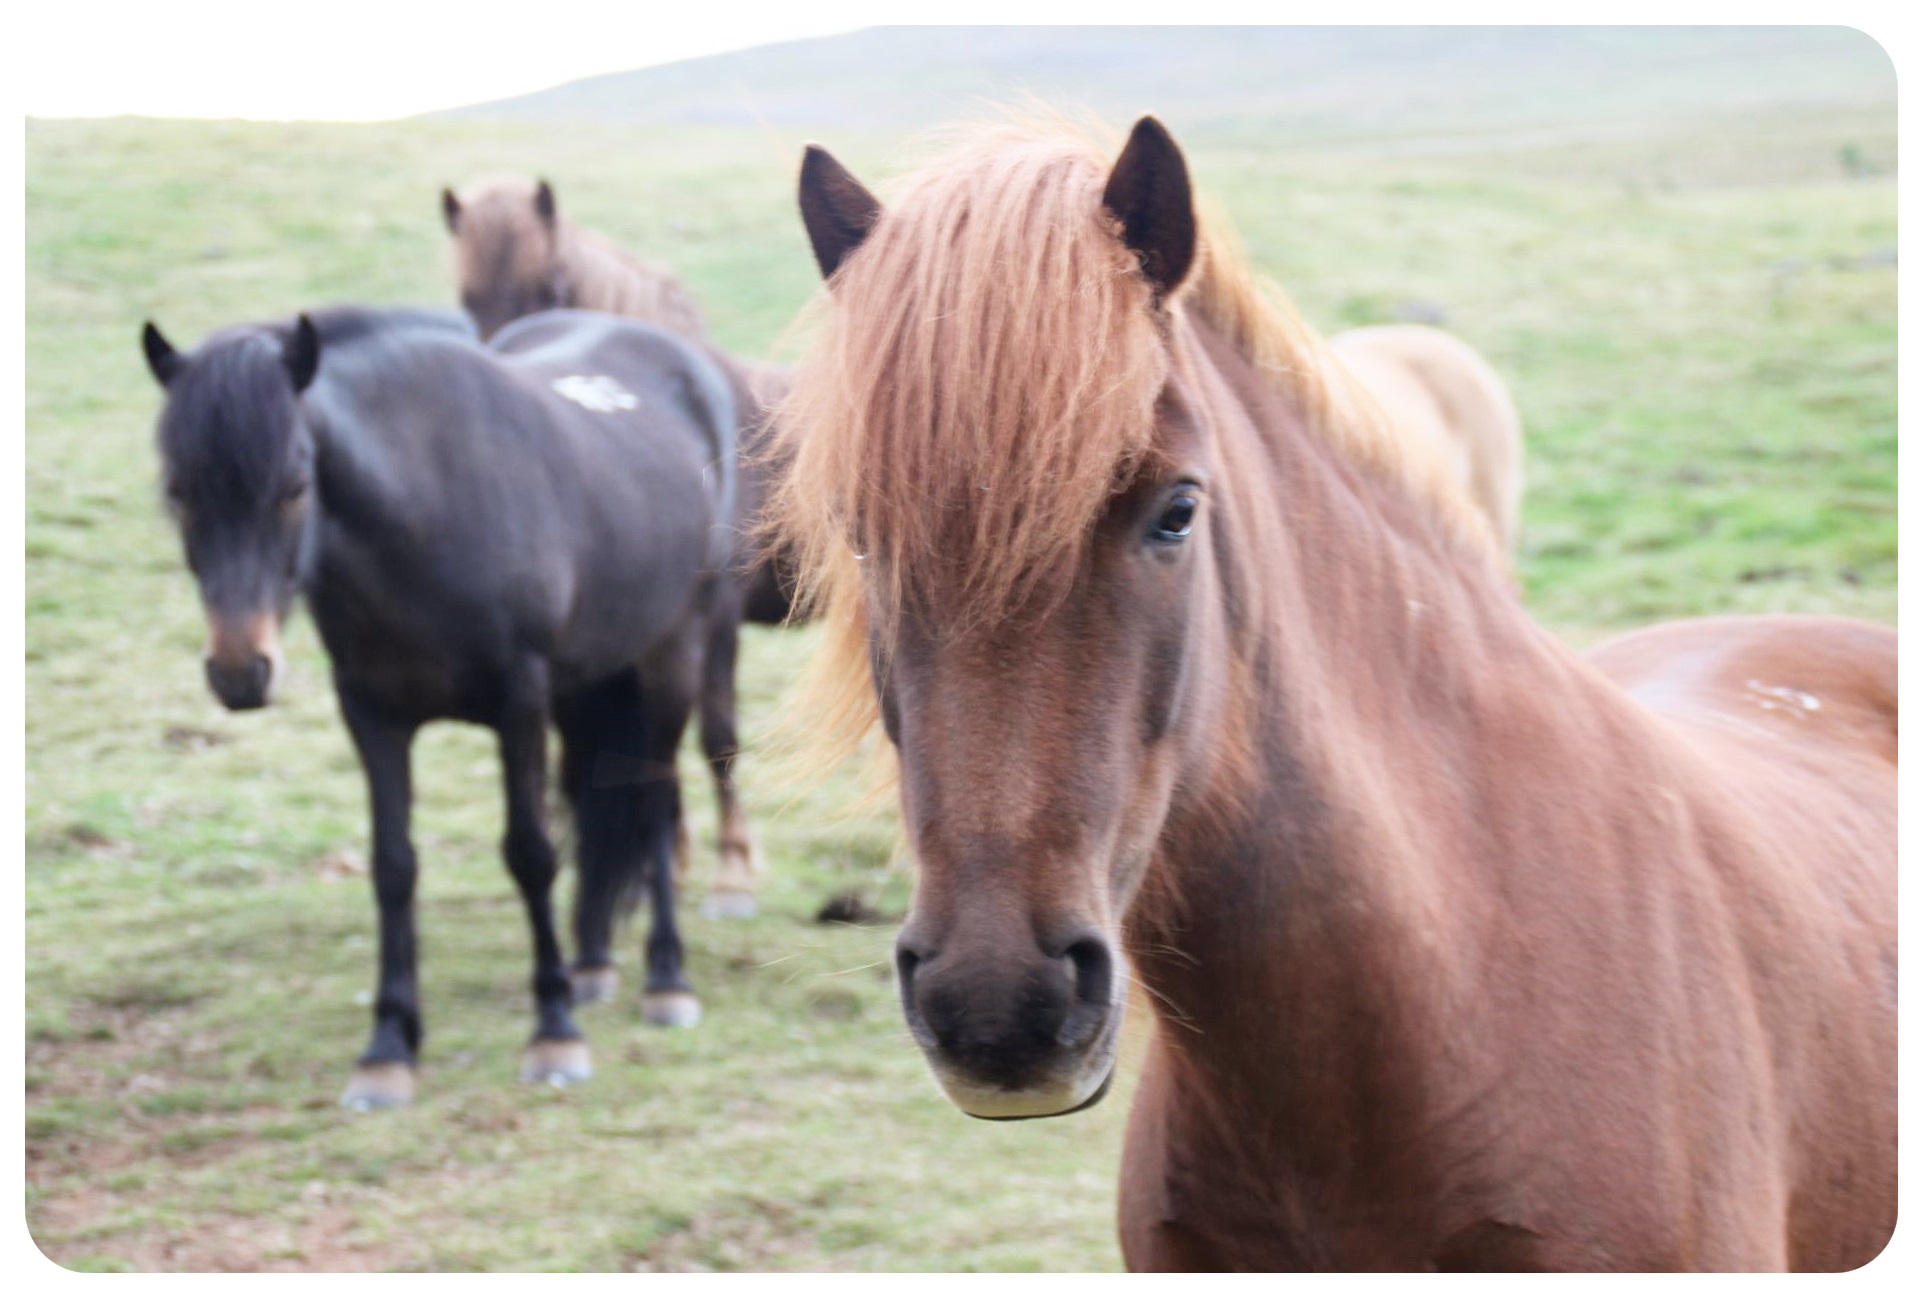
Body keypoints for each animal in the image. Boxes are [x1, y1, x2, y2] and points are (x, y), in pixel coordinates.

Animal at [142, 303, 738, 1107]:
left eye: (295, 485)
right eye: (179, 492)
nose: (240, 672)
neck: (424, 512)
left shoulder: (520, 702)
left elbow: (530, 853)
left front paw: (553, 1031)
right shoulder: (371, 714)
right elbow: (393, 866)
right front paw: (389, 1044)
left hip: (671, 659)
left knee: (653, 804)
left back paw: (665, 979)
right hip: (589, 683)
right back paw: (590, 964)